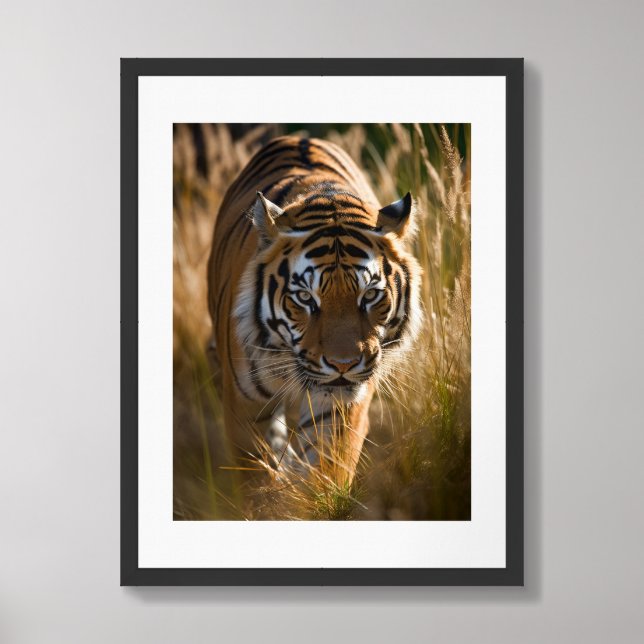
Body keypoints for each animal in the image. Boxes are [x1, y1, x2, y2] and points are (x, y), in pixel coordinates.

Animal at [207, 135, 421, 484]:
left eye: (370, 295)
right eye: (306, 298)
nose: (343, 365)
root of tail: (299, 136)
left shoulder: (340, 406)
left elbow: (326, 470)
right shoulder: (243, 408)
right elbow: (256, 476)